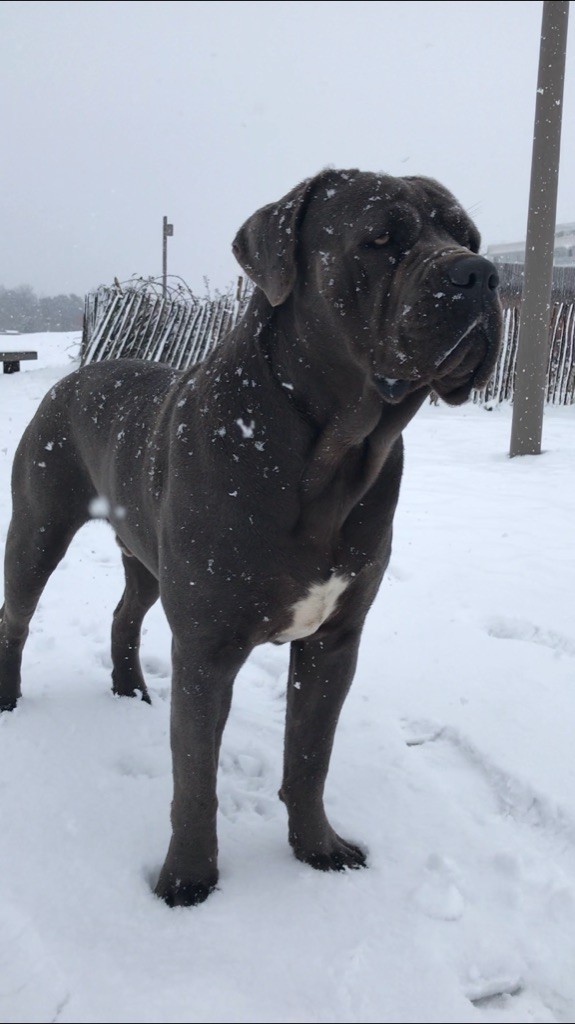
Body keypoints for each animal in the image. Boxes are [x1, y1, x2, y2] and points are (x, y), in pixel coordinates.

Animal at [0, 169, 502, 906]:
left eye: (467, 236)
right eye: (380, 238)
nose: (481, 273)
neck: (331, 455)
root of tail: (77, 375)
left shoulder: (334, 641)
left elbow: (310, 755)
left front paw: (318, 848)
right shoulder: (208, 645)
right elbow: (195, 777)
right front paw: (187, 880)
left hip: (145, 556)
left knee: (126, 612)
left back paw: (129, 689)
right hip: (38, 527)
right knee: (17, 616)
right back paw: (8, 700)